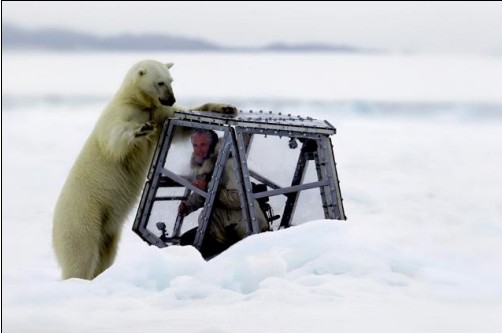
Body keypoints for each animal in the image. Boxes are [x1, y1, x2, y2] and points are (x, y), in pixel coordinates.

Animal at [52, 58, 236, 278]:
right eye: (160, 83)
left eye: (171, 80)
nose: (171, 99)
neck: (138, 101)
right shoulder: (122, 112)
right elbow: (115, 139)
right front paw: (141, 129)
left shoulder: (159, 112)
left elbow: (183, 123)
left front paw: (225, 107)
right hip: (83, 216)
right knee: (81, 254)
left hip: (107, 229)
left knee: (106, 252)